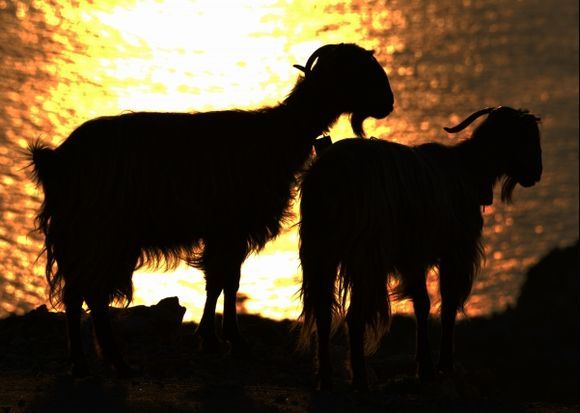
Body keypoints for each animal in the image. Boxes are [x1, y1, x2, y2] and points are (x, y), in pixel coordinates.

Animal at [30, 43, 394, 374]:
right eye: (357, 70)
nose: (388, 103)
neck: (275, 136)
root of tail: (55, 161)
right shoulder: (231, 228)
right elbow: (228, 282)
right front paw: (232, 341)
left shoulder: (223, 231)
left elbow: (218, 282)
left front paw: (212, 338)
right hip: (98, 235)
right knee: (86, 292)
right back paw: (101, 361)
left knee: (82, 293)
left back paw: (95, 360)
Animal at [300, 106, 544, 390]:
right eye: (525, 136)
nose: (536, 172)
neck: (466, 169)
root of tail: (328, 176)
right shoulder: (454, 253)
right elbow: (446, 304)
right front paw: (440, 365)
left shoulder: (413, 258)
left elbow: (421, 305)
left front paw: (426, 365)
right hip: (367, 257)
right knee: (355, 315)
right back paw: (360, 379)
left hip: (320, 252)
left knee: (323, 312)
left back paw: (326, 379)